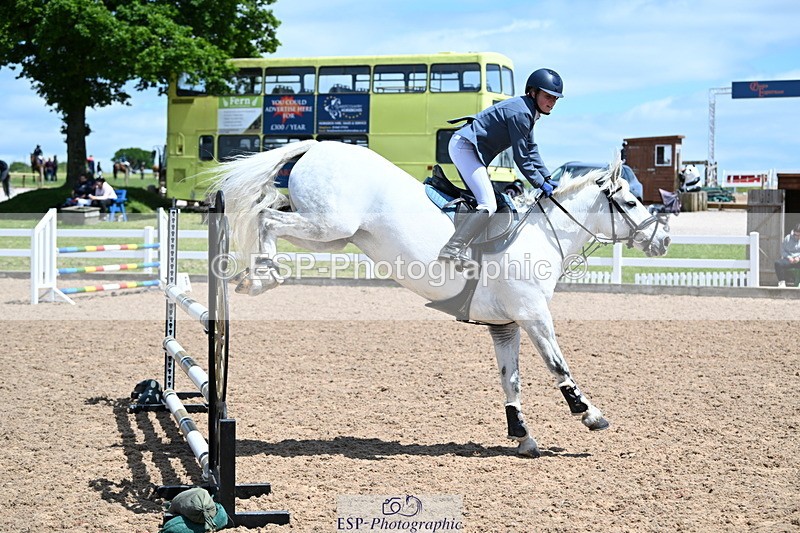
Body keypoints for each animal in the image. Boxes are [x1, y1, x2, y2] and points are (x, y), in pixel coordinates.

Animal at [211, 140, 671, 457]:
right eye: (631, 201)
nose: (663, 241)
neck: (541, 235)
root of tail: (320, 145)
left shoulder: (505, 326)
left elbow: (511, 379)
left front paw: (522, 436)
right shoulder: (533, 315)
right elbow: (558, 366)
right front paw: (589, 414)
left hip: (332, 236)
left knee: (270, 214)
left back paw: (257, 275)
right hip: (328, 224)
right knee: (267, 216)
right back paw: (261, 277)